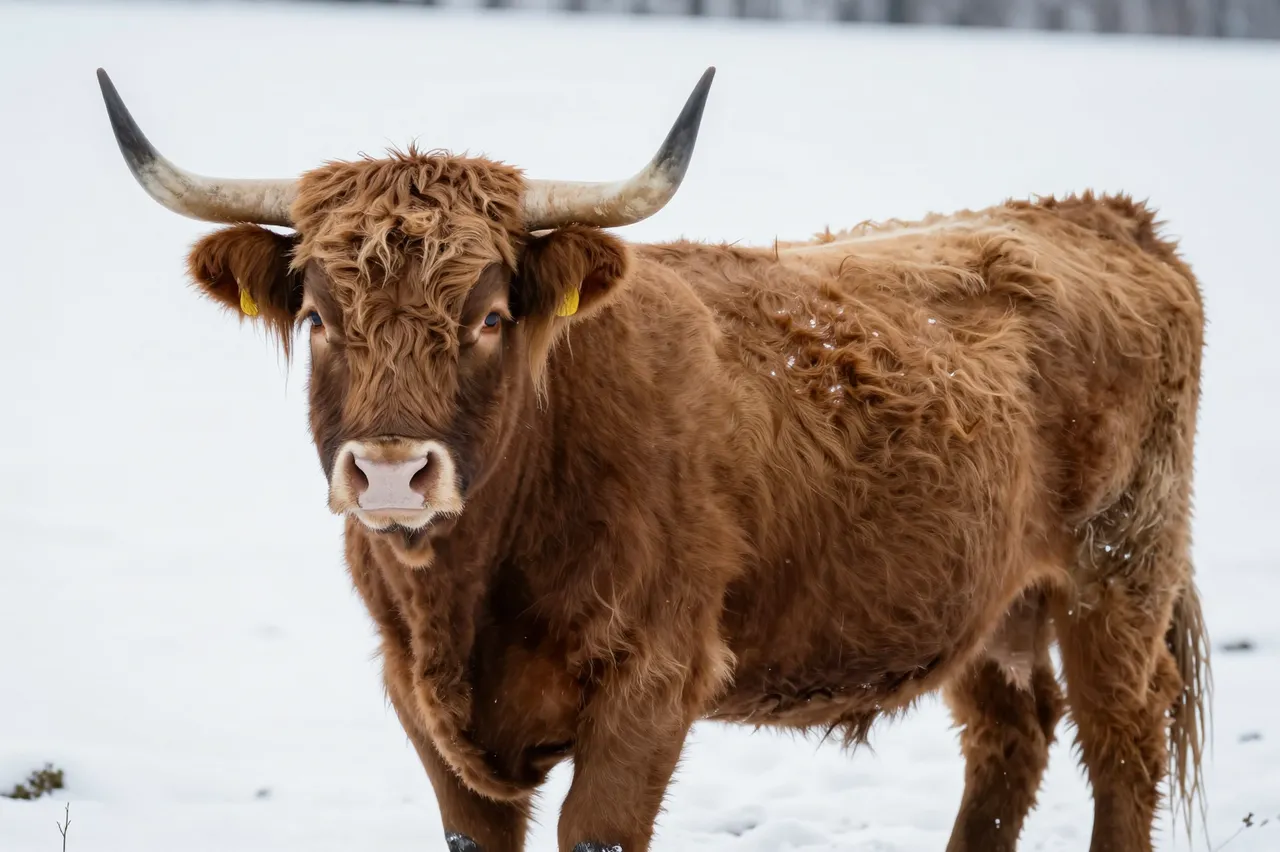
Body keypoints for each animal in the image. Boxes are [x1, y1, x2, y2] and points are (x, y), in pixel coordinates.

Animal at [95, 65, 1210, 852]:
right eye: (320, 317)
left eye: (490, 316)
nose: (391, 473)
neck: (468, 591)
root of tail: (1097, 214)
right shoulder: (420, 704)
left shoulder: (652, 687)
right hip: (989, 608)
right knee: (1009, 740)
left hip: (1117, 574)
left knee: (1121, 740)